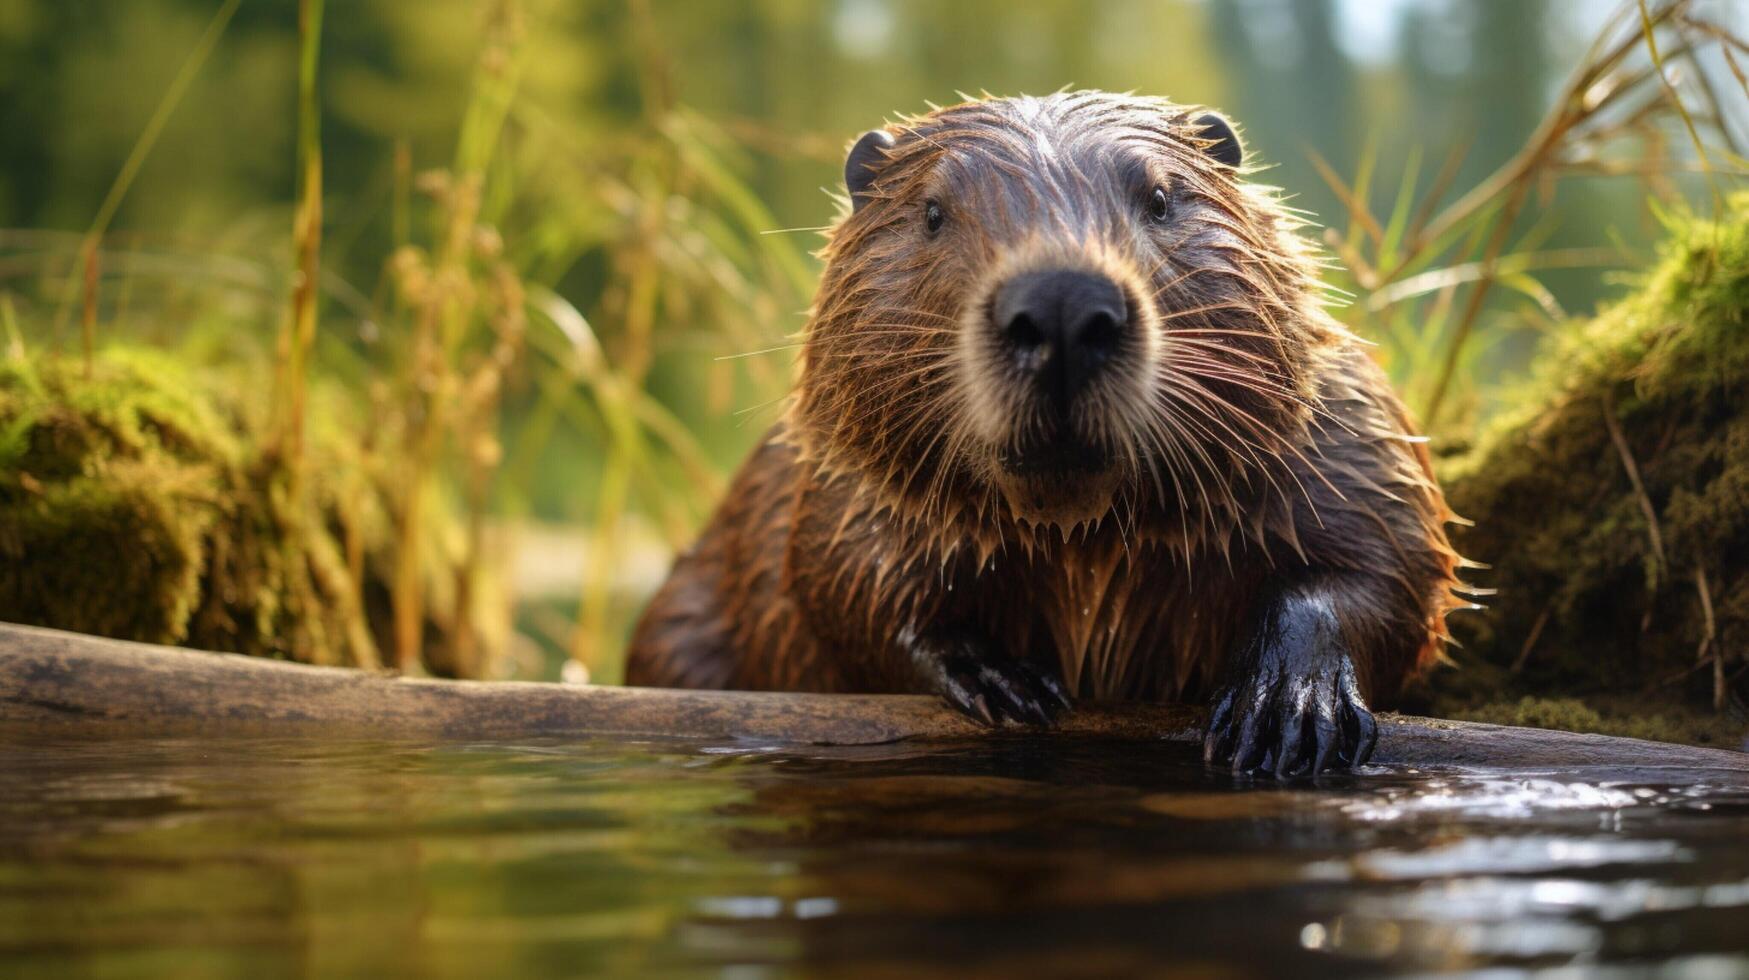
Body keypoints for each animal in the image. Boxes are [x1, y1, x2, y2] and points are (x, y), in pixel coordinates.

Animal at [629, 93, 1462, 780]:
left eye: (1161, 197)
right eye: (932, 212)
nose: (1062, 302)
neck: (1079, 537)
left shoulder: (1337, 427)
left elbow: (1391, 564)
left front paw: (1286, 709)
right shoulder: (840, 475)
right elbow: (840, 585)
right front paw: (1004, 679)